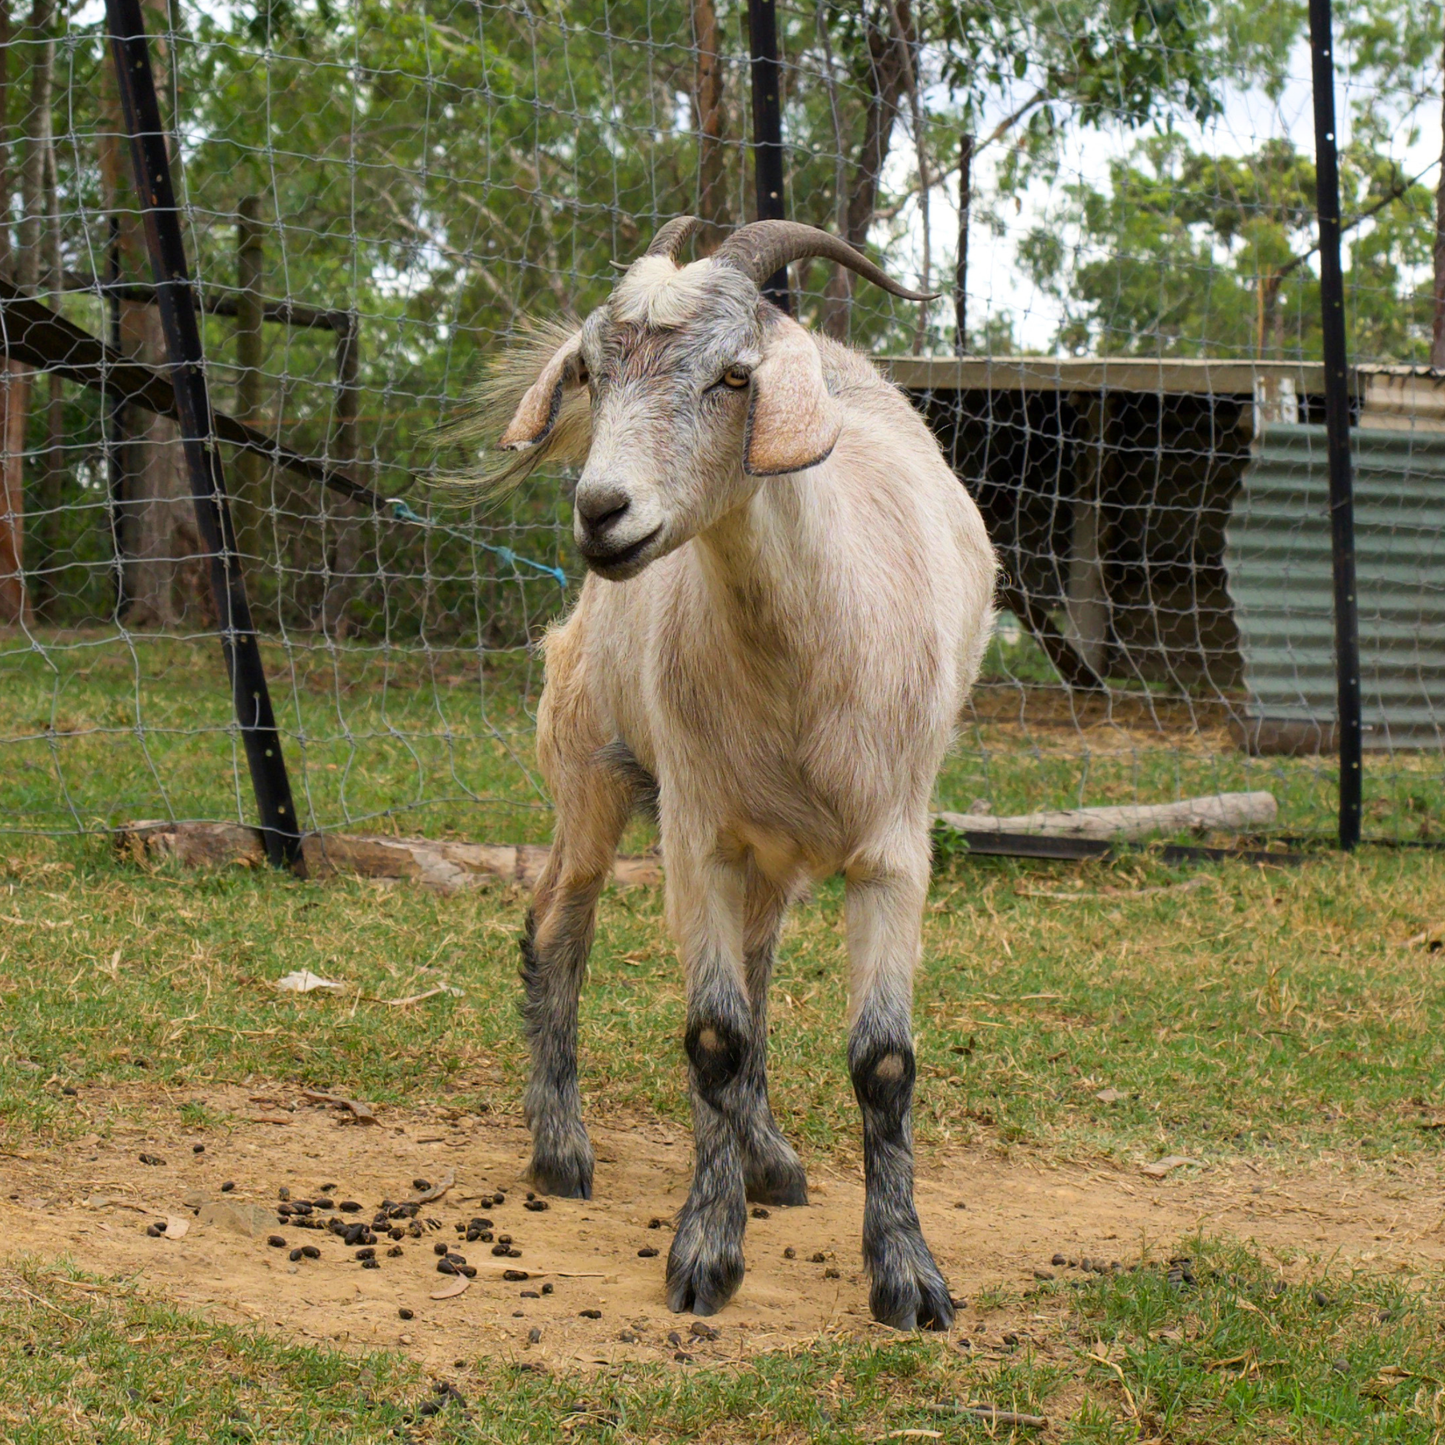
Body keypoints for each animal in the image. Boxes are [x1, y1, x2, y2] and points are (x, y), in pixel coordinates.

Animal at [477, 217, 997, 1330]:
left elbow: (880, 1060)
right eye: (590, 370)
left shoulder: (894, 846)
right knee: (557, 927)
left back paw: (767, 1156)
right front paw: (705, 1251)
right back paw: (561, 1148)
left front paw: (907, 1274)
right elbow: (713, 1036)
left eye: (733, 377)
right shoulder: (698, 834)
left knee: (756, 966)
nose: (602, 512)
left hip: (780, 846)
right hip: (591, 764)